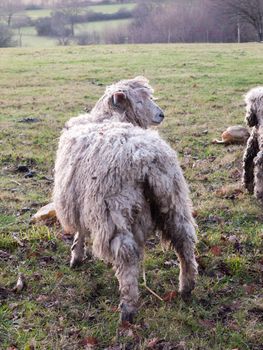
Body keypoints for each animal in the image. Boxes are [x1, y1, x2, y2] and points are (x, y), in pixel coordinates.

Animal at [53, 76, 198, 322]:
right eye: (139, 100)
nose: (161, 115)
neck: (106, 117)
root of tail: (146, 158)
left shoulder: (80, 201)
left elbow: (80, 231)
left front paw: (76, 256)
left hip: (114, 212)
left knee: (127, 256)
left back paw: (128, 308)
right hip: (174, 201)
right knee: (185, 240)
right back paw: (186, 287)